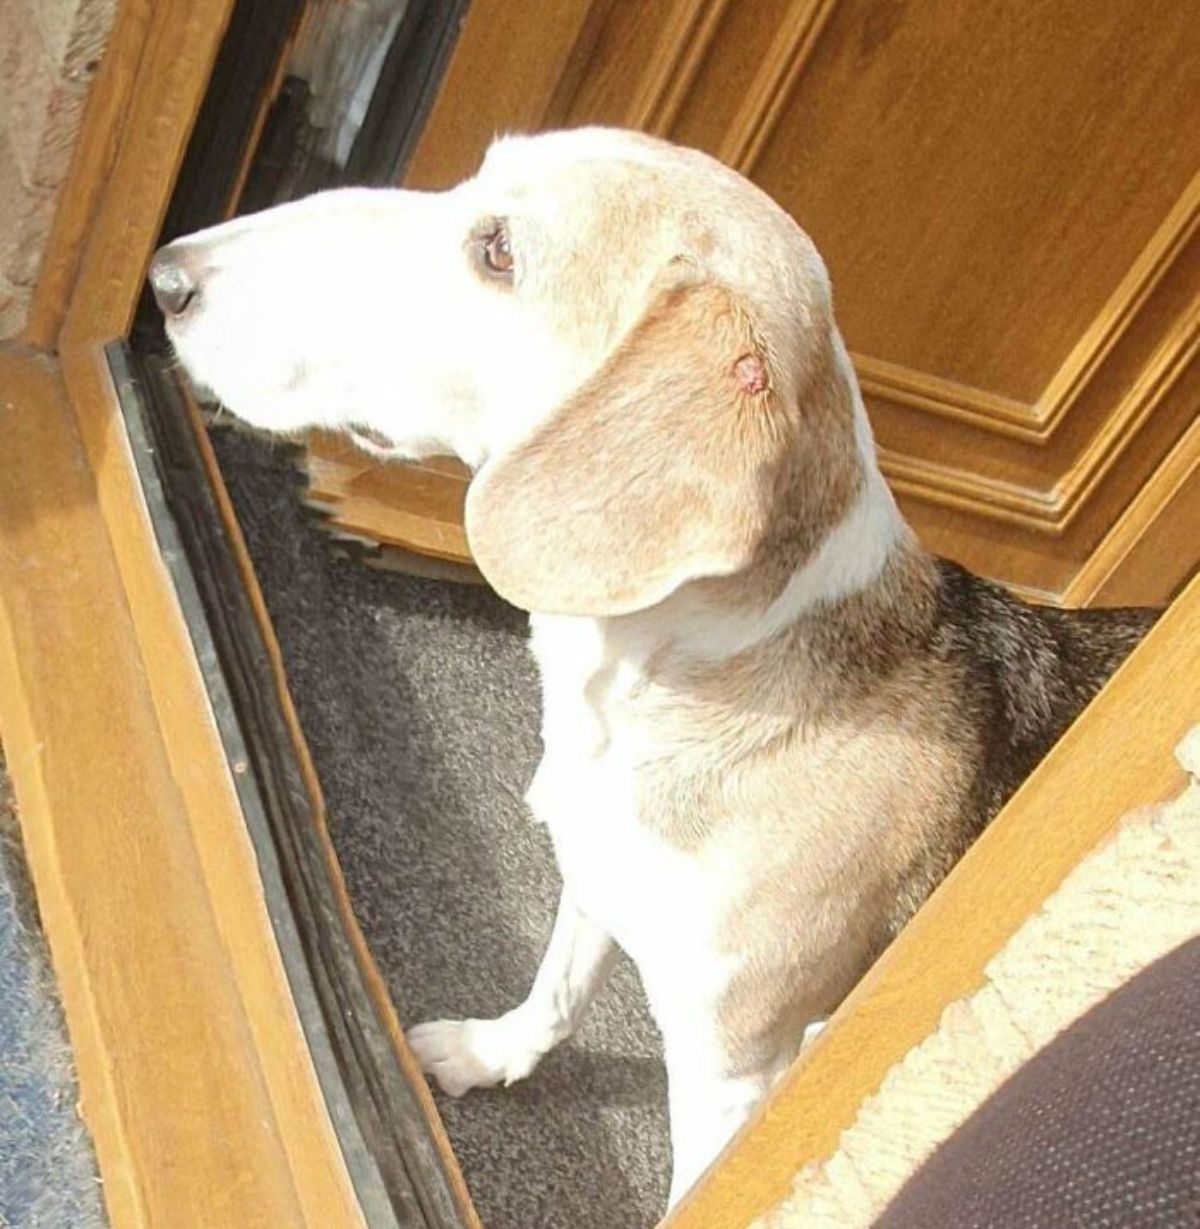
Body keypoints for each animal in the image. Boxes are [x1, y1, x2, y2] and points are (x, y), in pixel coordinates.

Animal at [150, 127, 1150, 1209]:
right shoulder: (594, 869)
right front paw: (488, 1052)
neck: (654, 685)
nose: (167, 277)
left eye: (497, 252)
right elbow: (556, 992)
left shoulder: (727, 1070)